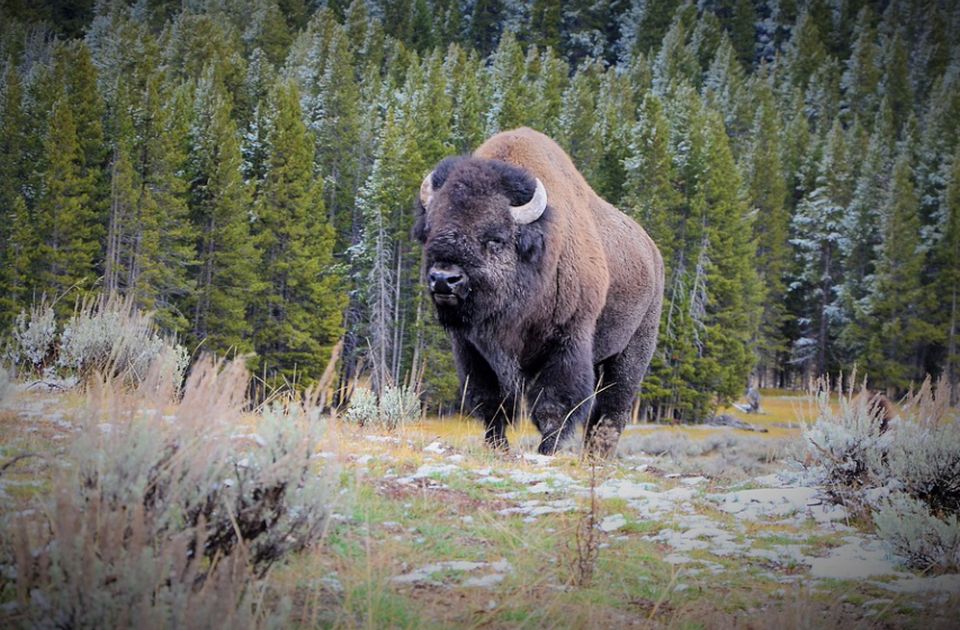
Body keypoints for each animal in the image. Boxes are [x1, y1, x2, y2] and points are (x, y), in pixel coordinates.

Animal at [416, 126, 664, 456]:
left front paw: (547, 452)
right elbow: (491, 402)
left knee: (613, 408)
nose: (444, 279)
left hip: (632, 351)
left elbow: (553, 407)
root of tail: (653, 255)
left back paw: (598, 455)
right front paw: (498, 448)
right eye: (430, 231)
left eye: (495, 238)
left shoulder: (566, 342)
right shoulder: (473, 351)